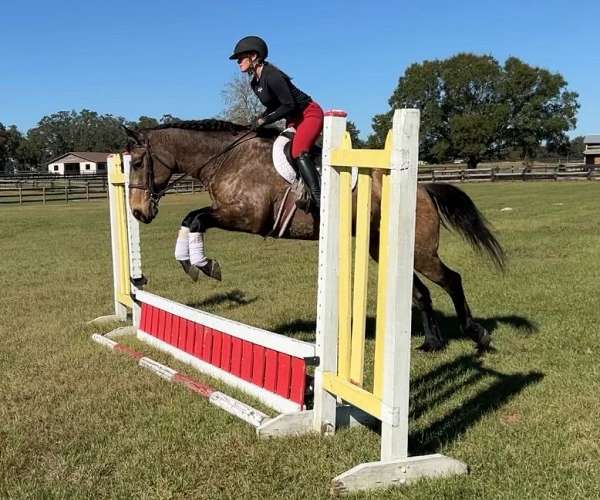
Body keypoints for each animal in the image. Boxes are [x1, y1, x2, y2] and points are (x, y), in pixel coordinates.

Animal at [124, 119, 504, 352]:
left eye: (139, 163)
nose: (139, 213)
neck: (225, 158)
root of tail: (423, 188)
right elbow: (190, 219)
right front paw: (190, 263)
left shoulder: (247, 216)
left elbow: (196, 218)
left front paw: (204, 265)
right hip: (383, 248)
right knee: (421, 293)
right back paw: (431, 344)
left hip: (420, 252)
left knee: (451, 279)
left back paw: (478, 335)